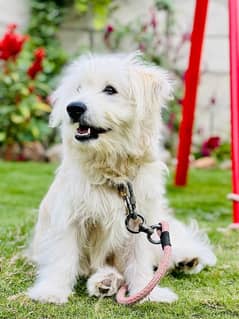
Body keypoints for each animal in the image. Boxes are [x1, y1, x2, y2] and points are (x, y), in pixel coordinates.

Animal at [26, 52, 217, 304]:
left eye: (110, 90)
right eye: (78, 89)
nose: (73, 108)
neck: (113, 174)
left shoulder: (140, 225)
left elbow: (139, 260)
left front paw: (146, 291)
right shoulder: (69, 217)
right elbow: (63, 256)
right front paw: (52, 291)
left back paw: (187, 260)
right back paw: (105, 282)